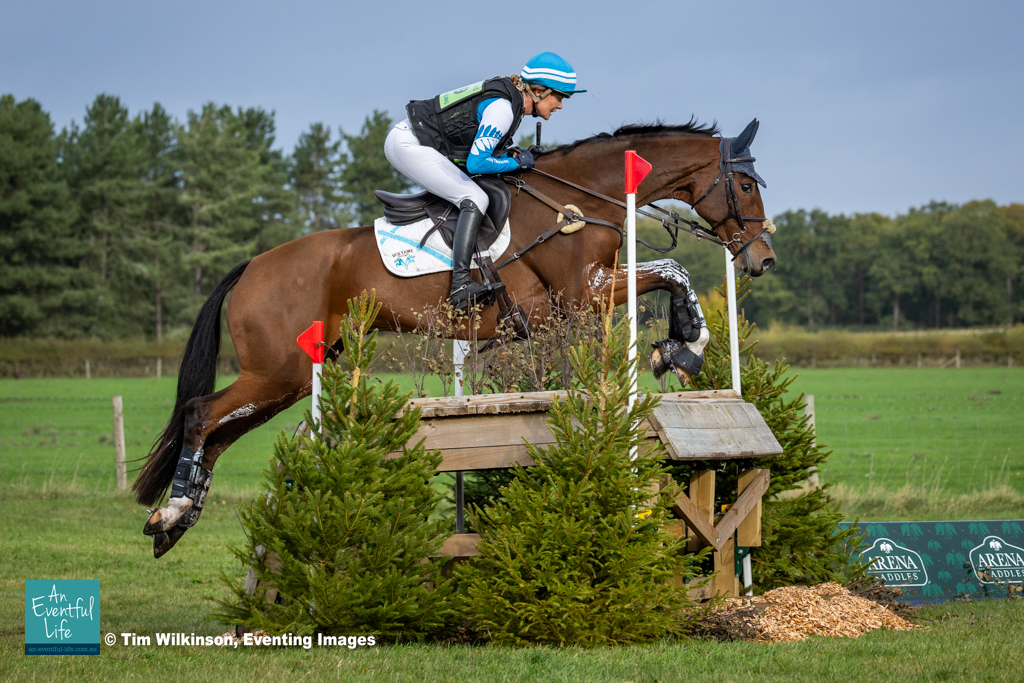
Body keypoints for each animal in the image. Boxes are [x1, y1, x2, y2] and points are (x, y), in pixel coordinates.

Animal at [135, 117, 777, 557]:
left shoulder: (581, 298)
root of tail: (252, 265)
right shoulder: (585, 291)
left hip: (290, 377)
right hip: (279, 371)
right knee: (201, 414)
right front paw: (683, 347)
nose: (763, 259)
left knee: (219, 431)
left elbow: (669, 274)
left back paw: (177, 519)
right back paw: (171, 513)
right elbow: (672, 270)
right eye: (746, 186)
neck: (580, 196)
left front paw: (677, 346)